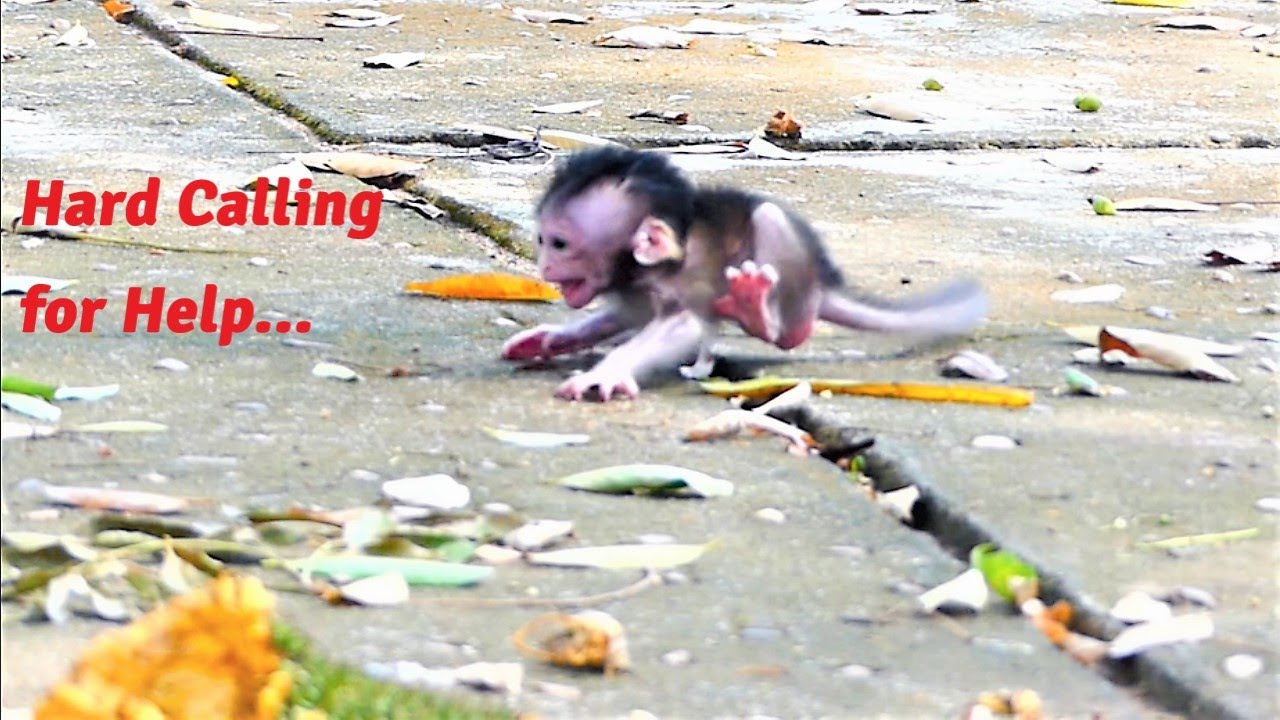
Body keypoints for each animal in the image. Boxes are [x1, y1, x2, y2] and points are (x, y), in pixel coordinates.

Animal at [501, 147, 988, 401]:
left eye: (559, 243)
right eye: (542, 240)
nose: (545, 266)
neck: (636, 268)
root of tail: (821, 283)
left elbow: (682, 327)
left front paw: (604, 372)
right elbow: (622, 318)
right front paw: (548, 339)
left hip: (792, 283)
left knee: (773, 245)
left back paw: (760, 313)